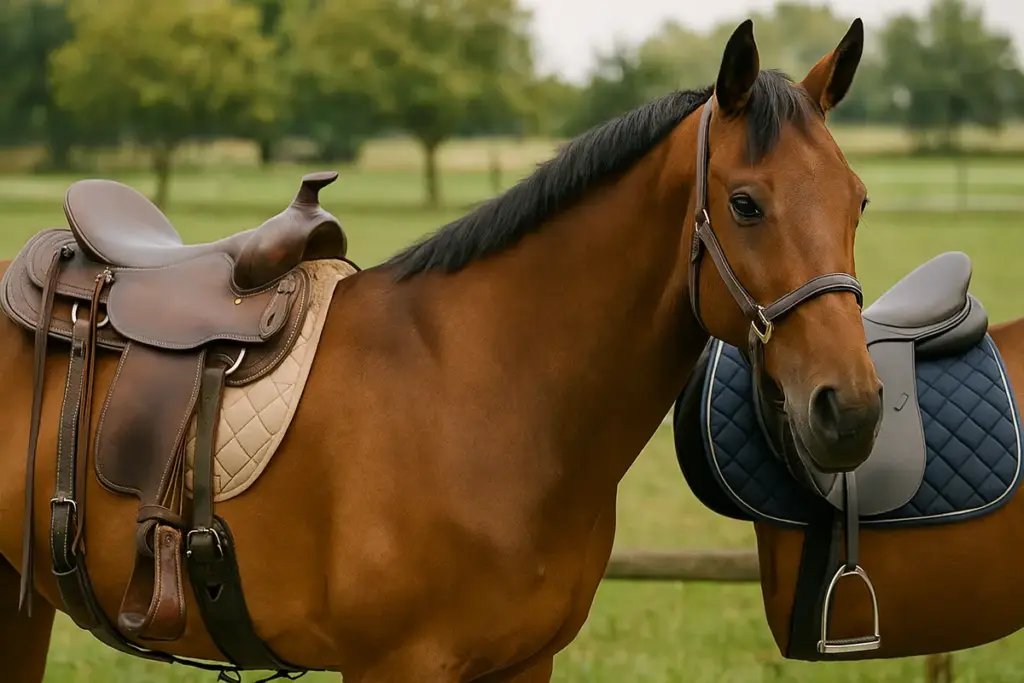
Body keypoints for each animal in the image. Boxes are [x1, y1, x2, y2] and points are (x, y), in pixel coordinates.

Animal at [0, 19, 878, 682]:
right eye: (745, 203)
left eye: (858, 200)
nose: (852, 407)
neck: (480, 387)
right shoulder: (397, 665)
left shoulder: (523, 664)